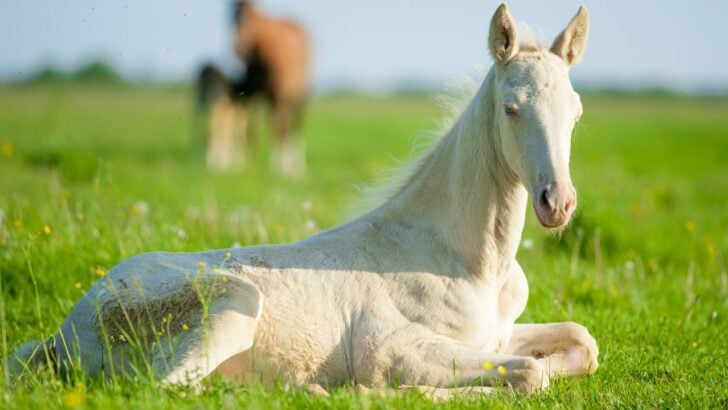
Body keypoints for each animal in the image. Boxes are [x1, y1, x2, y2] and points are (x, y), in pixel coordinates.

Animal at [202, 1, 310, 176]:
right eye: (230, 17)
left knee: (292, 124)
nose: (238, 48)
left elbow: (279, 126)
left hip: (300, 94)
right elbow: (251, 126)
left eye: (252, 17)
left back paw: (294, 165)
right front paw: (248, 164)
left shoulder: (277, 93)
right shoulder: (253, 92)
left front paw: (281, 167)